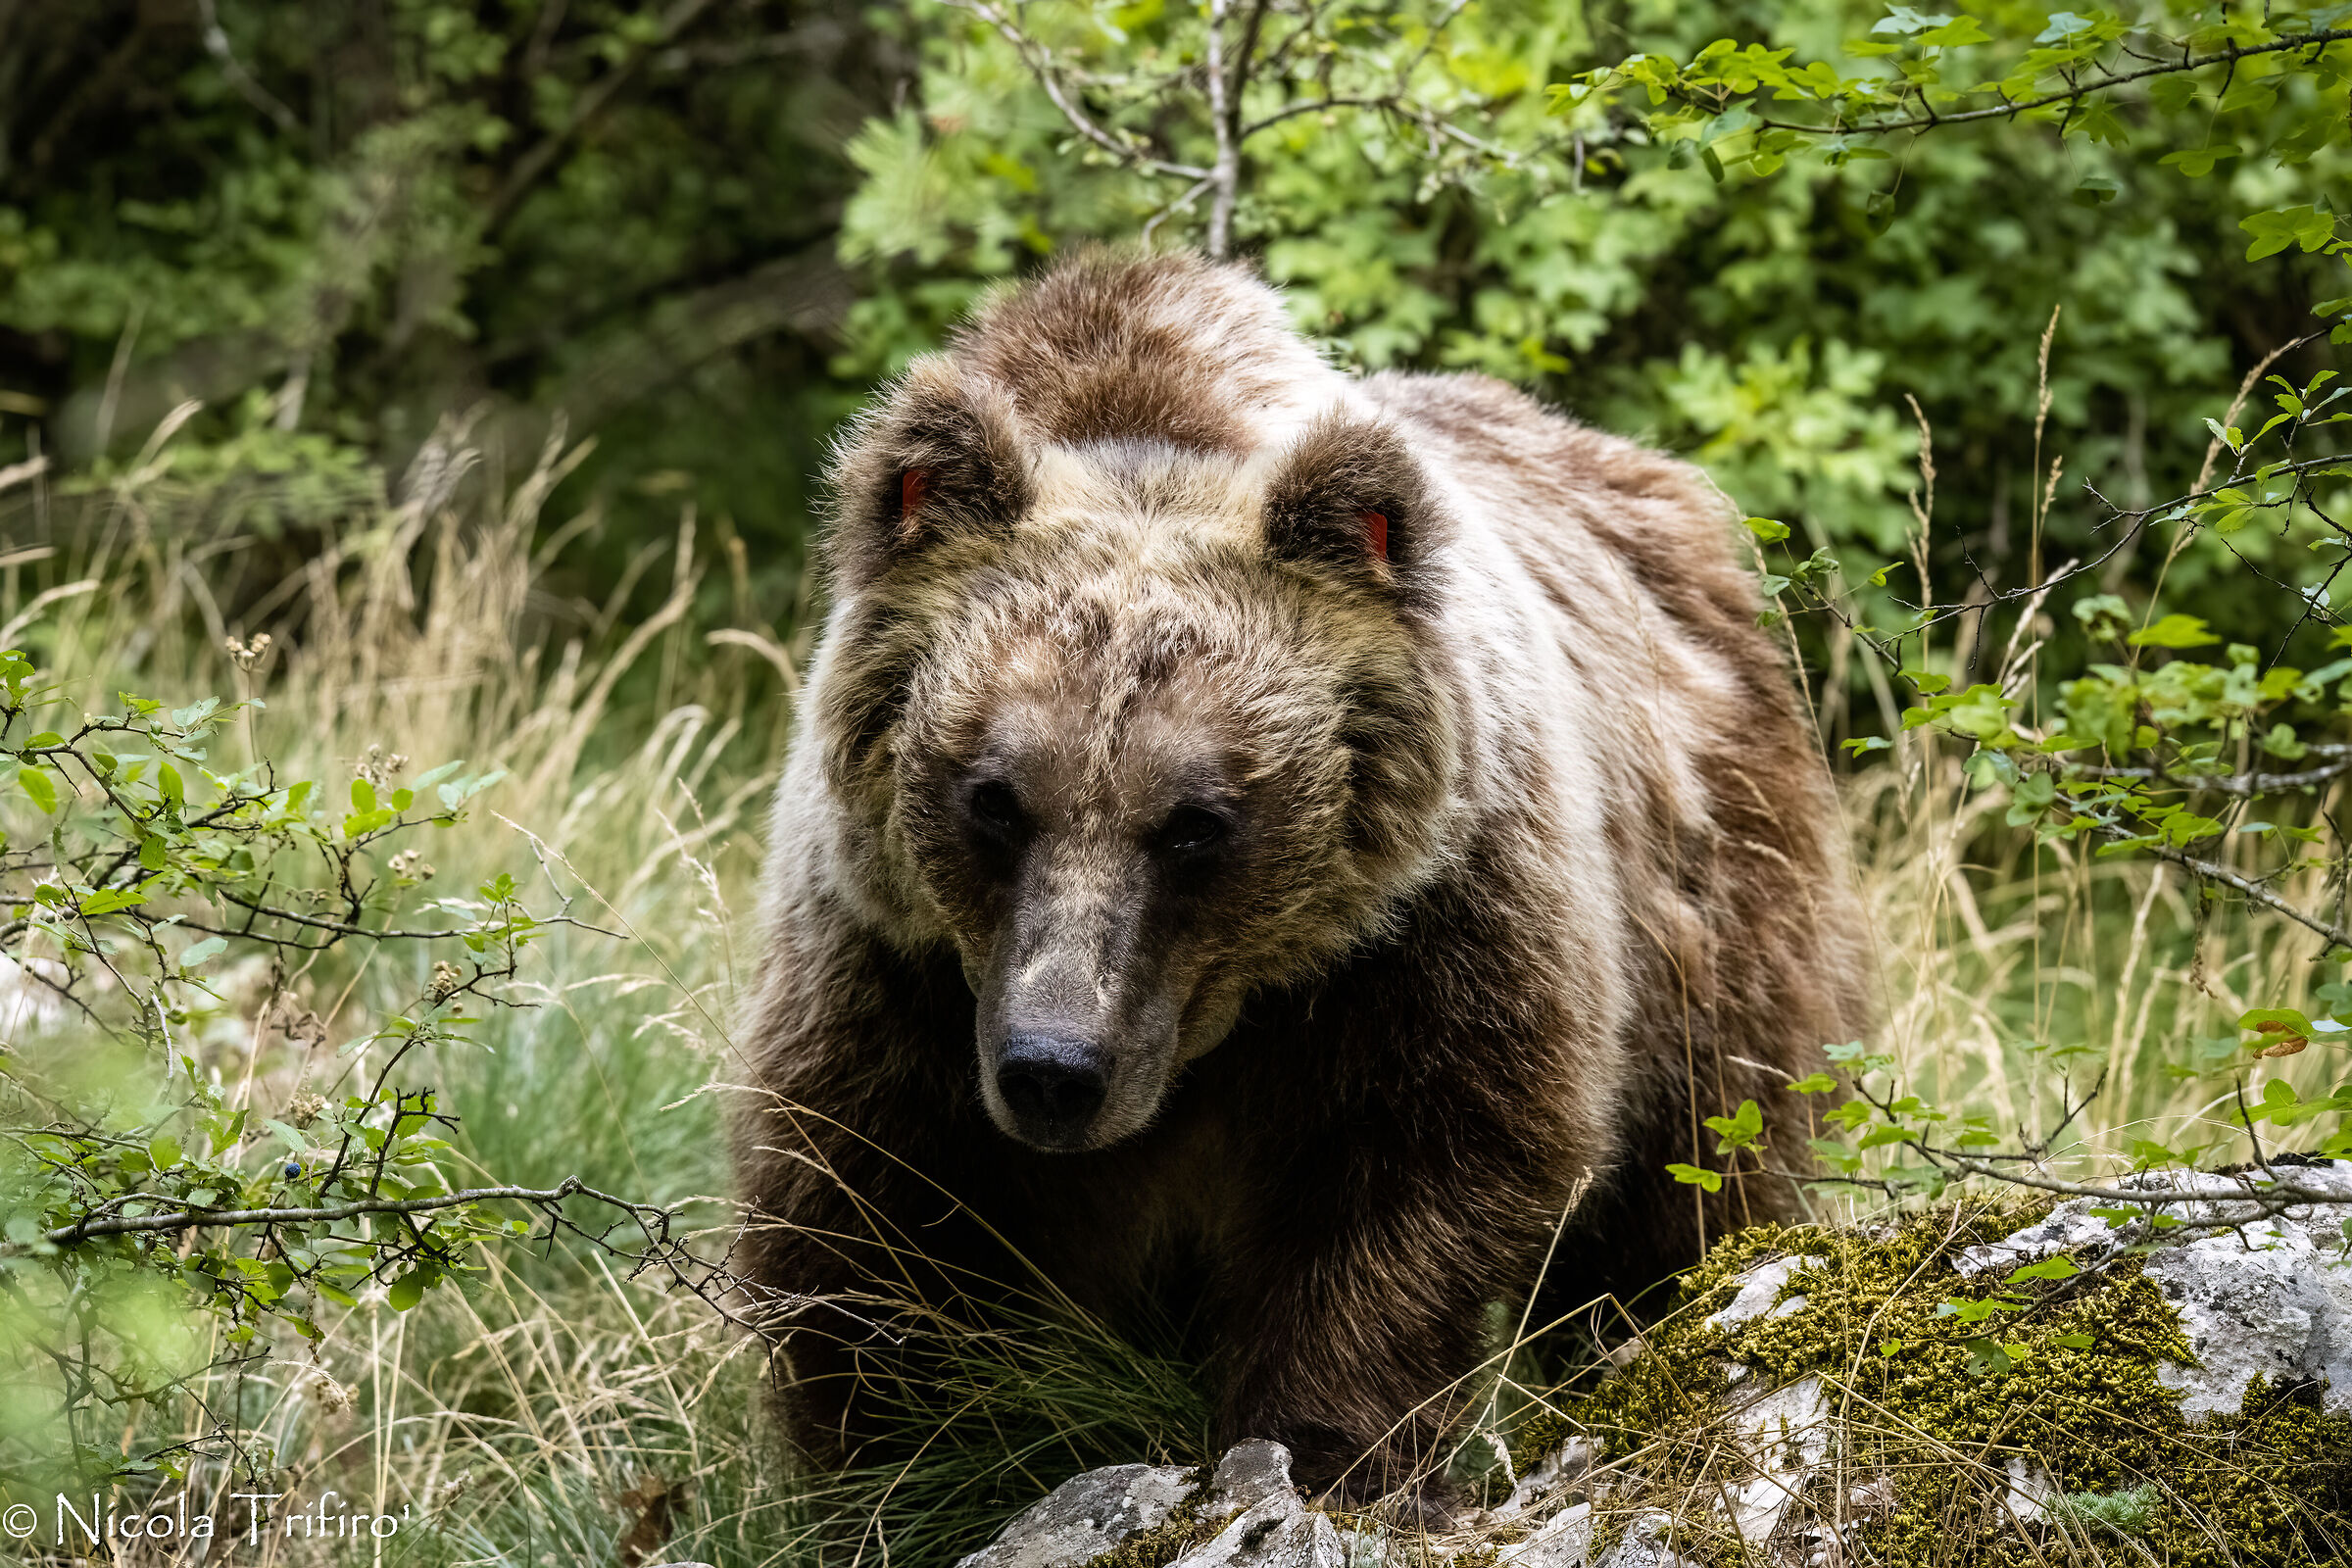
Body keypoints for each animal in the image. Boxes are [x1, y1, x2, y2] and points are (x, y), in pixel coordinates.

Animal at [731, 250, 1869, 1510]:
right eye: (994, 796)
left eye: (1195, 823)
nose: (1054, 1070)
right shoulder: (900, 976)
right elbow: (874, 1229)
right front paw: (914, 1470)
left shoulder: (1429, 935)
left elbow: (1410, 1178)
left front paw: (1319, 1449)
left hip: (1712, 914)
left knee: (1692, 1192)